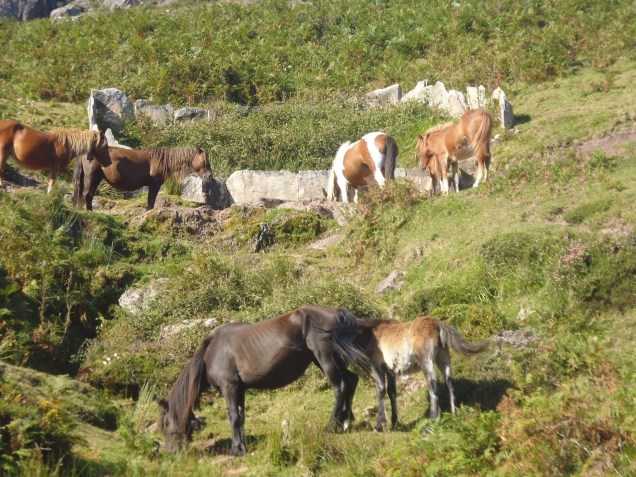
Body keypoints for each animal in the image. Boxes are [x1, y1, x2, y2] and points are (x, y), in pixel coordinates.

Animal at [73, 145, 214, 210]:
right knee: (86, 194)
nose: (209, 176)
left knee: (89, 195)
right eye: (203, 161)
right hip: (91, 176)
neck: (163, 160)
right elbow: (150, 202)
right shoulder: (154, 184)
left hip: (97, 178)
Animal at [156, 304, 370, 454]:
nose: (172, 453)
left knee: (340, 388)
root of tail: (337, 313)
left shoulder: (229, 387)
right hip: (329, 361)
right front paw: (241, 447)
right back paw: (345, 423)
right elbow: (241, 417)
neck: (211, 354)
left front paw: (235, 450)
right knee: (351, 382)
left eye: (166, 424)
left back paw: (331, 426)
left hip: (326, 361)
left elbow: (234, 418)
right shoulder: (239, 389)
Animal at [356, 314, 490, 430]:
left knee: (433, 382)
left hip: (425, 359)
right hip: (443, 357)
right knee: (449, 382)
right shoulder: (391, 372)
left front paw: (379, 425)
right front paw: (393, 424)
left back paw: (431, 423)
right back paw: (453, 416)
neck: (373, 334)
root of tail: (437, 324)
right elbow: (391, 392)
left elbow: (380, 390)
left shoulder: (377, 367)